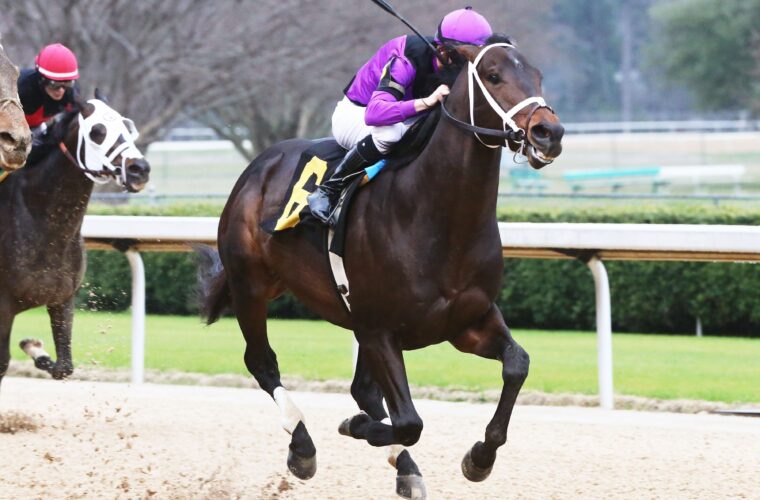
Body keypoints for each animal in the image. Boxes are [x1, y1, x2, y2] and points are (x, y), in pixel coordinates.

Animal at [0, 94, 150, 391]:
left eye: (129, 127)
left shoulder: (63, 299)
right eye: (97, 132)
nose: (139, 169)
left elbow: (64, 367)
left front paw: (34, 346)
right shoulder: (3, 305)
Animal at [198, 39, 563, 498]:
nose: (549, 133)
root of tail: (258, 166)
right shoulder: (380, 329)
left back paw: (404, 467)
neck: (437, 216)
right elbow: (408, 421)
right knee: (262, 362)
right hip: (250, 285)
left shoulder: (467, 321)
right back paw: (302, 447)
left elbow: (517, 364)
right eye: (493, 75)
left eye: (537, 76)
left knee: (364, 390)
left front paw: (480, 458)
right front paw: (356, 428)